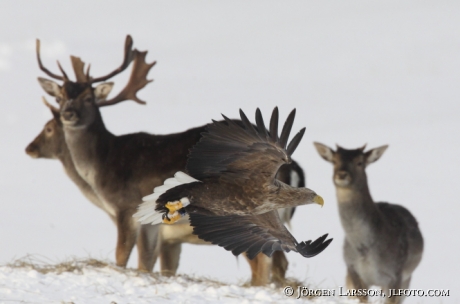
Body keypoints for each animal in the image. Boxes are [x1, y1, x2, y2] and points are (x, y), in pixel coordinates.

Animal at [32, 36, 306, 286]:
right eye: (59, 97)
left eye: (89, 98)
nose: (30, 147)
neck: (99, 172)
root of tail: (292, 168)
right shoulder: (166, 236)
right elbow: (157, 265)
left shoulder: (127, 209)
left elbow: (127, 259)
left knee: (263, 265)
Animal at [312, 143, 424, 304]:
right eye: (334, 161)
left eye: (360, 162)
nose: (342, 174)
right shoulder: (352, 269)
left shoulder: (395, 274)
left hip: (406, 278)